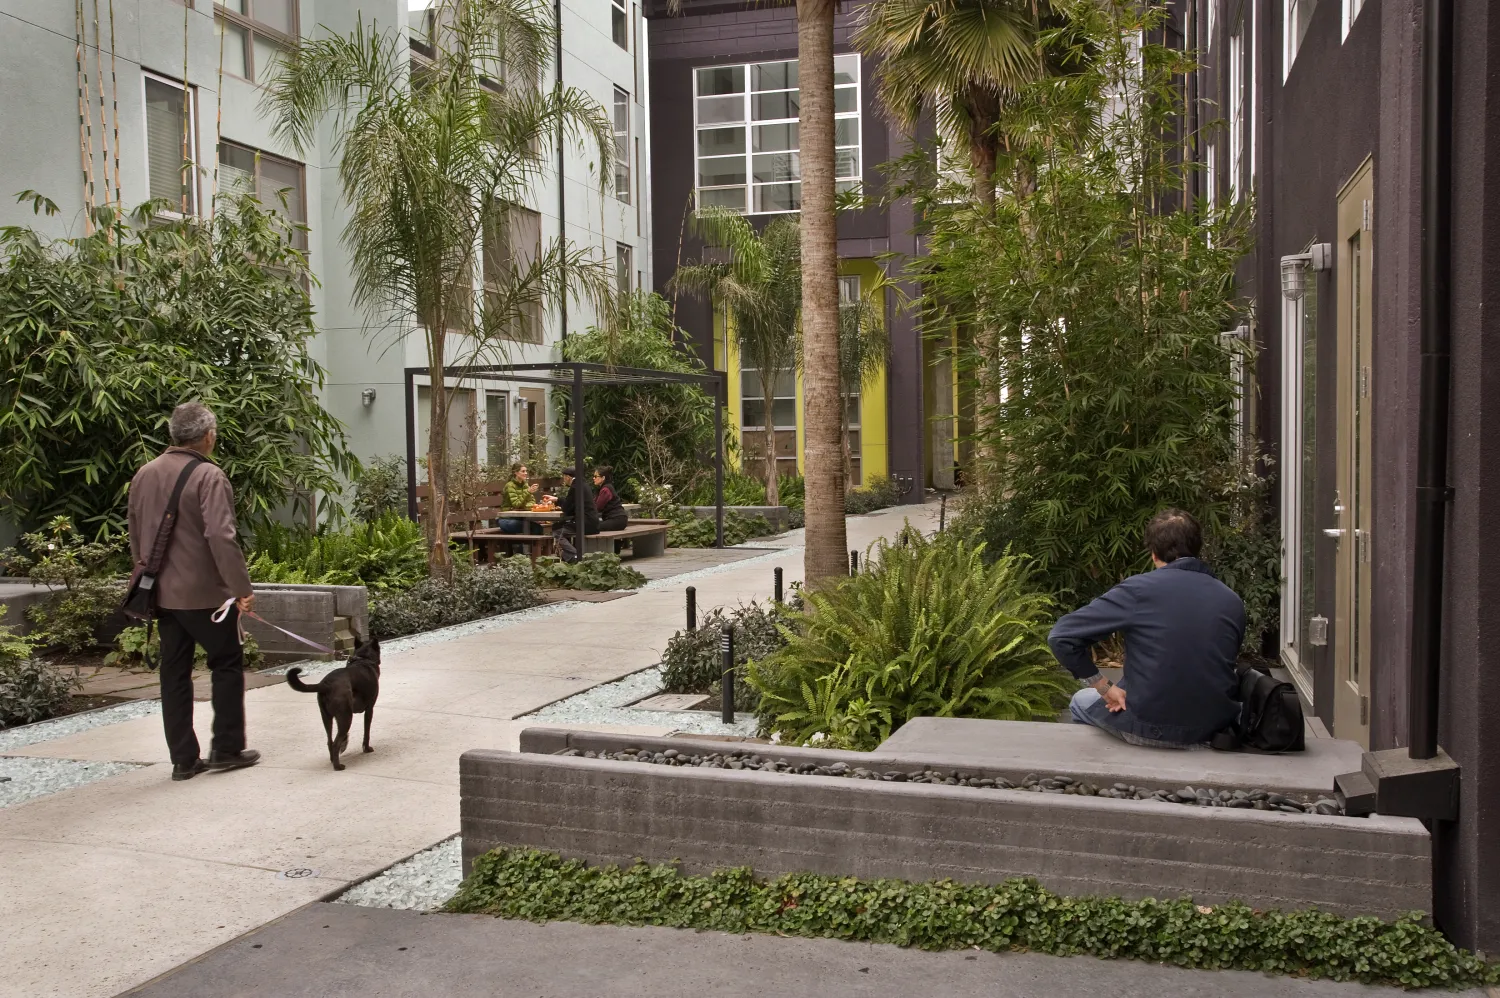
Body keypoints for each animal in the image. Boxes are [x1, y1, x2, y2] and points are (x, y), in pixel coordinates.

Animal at [286, 639, 381, 768]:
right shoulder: (369, 709)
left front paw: (345, 744)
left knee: (330, 741)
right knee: (336, 742)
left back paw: (333, 759)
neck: (363, 659)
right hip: (346, 716)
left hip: (327, 717)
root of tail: (326, 685)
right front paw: (366, 749)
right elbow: (367, 732)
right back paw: (338, 766)